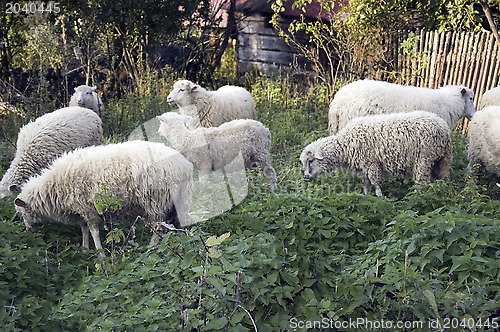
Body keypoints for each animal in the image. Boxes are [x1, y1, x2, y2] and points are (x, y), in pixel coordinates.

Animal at [13, 140, 193, 252]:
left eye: (22, 213)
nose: (29, 230)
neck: (53, 186)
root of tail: (184, 166)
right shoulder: (80, 210)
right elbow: (84, 229)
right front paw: (85, 250)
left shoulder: (88, 209)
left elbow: (94, 232)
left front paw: (100, 254)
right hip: (179, 202)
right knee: (178, 225)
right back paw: (182, 246)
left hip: (156, 201)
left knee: (158, 228)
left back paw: (152, 248)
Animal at [300, 110, 454, 196]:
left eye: (311, 160)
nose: (306, 177)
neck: (345, 145)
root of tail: (444, 129)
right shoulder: (365, 165)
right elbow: (366, 183)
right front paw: (366, 196)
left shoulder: (372, 163)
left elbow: (375, 183)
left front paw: (380, 197)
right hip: (442, 160)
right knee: (444, 177)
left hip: (424, 159)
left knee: (422, 182)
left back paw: (417, 197)